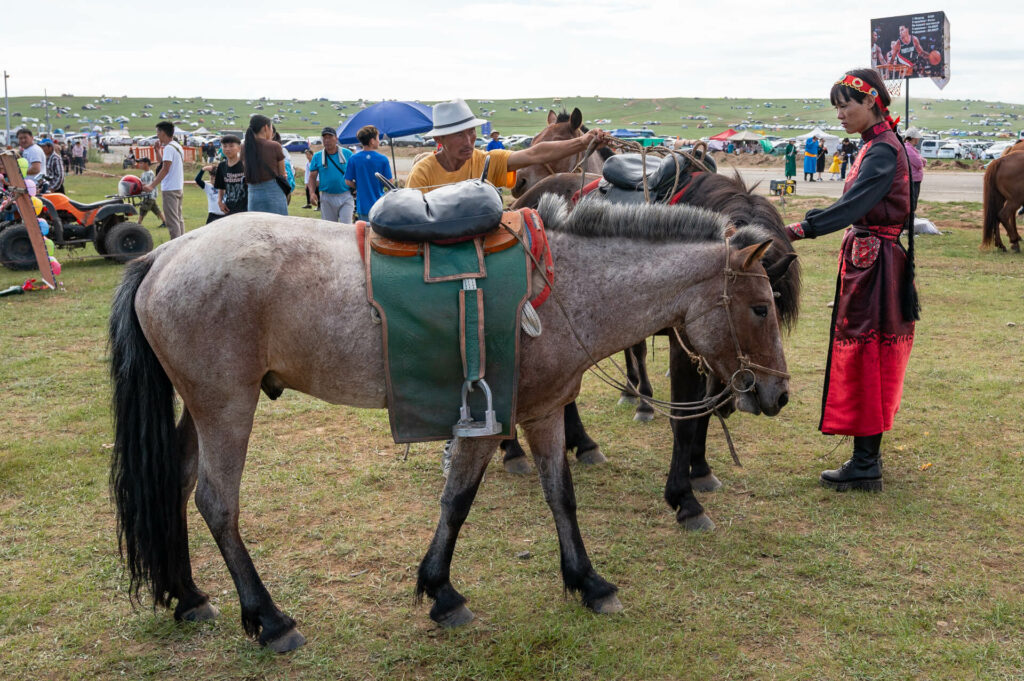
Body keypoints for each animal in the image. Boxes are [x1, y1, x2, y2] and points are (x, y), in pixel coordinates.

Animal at [108, 193, 786, 651]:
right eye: (760, 307)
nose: (777, 394)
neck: (562, 284)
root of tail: (165, 253)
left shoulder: (543, 410)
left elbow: (560, 496)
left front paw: (588, 581)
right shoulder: (486, 421)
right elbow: (456, 501)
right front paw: (441, 592)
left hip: (200, 406)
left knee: (173, 486)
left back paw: (188, 597)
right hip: (227, 405)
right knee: (217, 502)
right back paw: (269, 620)